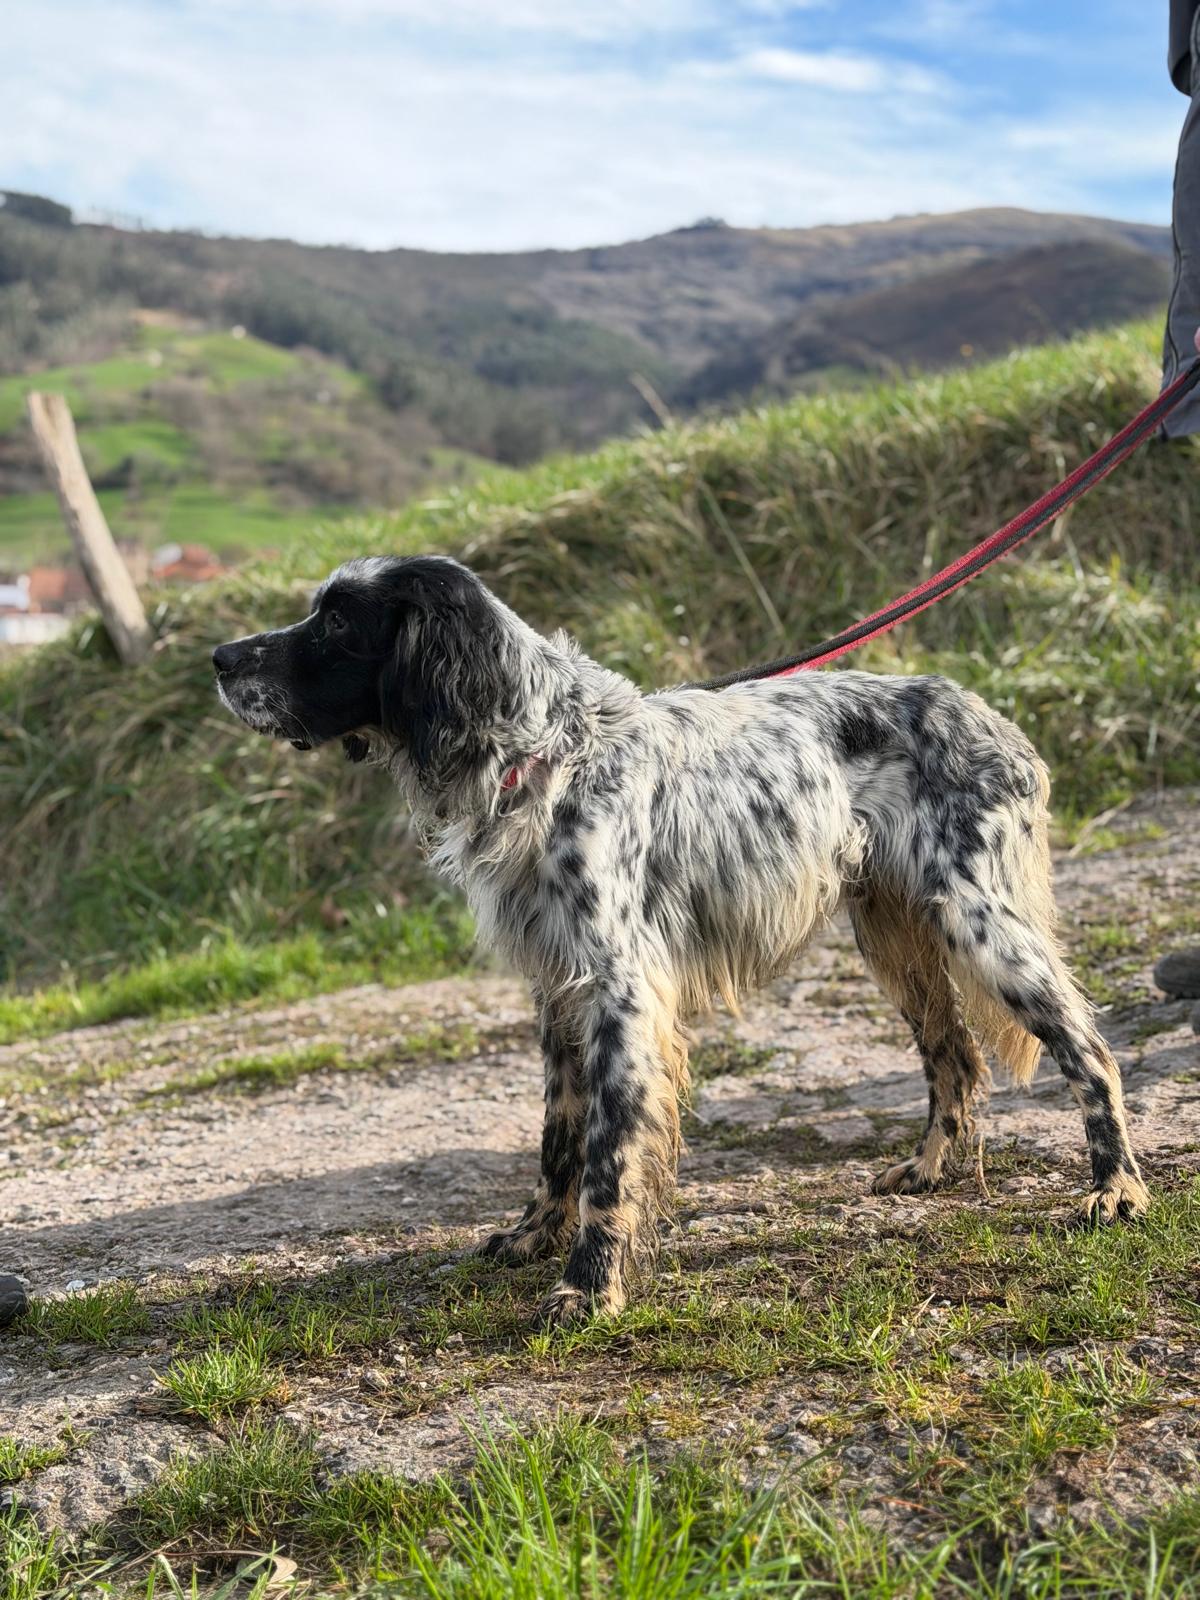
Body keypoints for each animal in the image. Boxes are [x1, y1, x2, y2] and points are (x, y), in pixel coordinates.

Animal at [213, 554, 1149, 1325]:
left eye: (339, 621)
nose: (219, 659)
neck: (550, 754)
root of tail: (988, 715)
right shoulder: (558, 988)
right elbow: (558, 1137)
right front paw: (534, 1236)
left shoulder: (622, 988)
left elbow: (607, 1152)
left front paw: (589, 1284)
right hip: (896, 937)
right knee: (955, 1055)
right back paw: (927, 1171)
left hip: (977, 920)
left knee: (1089, 1049)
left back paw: (1116, 1189)